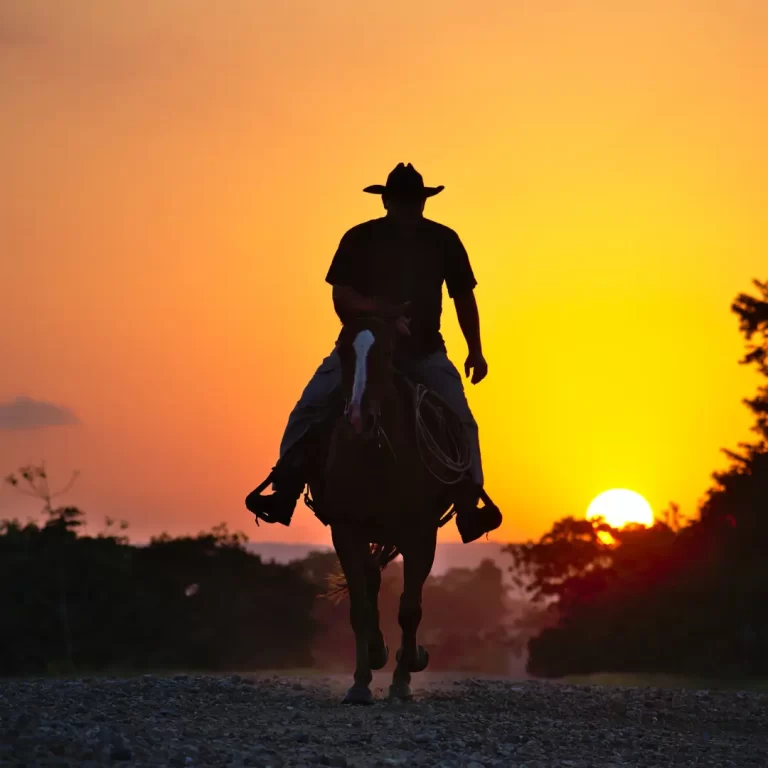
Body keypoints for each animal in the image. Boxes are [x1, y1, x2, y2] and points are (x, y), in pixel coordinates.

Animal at [316, 316, 472, 704]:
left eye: (386, 352)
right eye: (343, 351)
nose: (359, 419)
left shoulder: (421, 534)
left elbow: (410, 609)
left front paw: (403, 678)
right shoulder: (346, 530)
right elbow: (360, 607)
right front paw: (359, 684)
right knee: (371, 583)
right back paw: (375, 652)